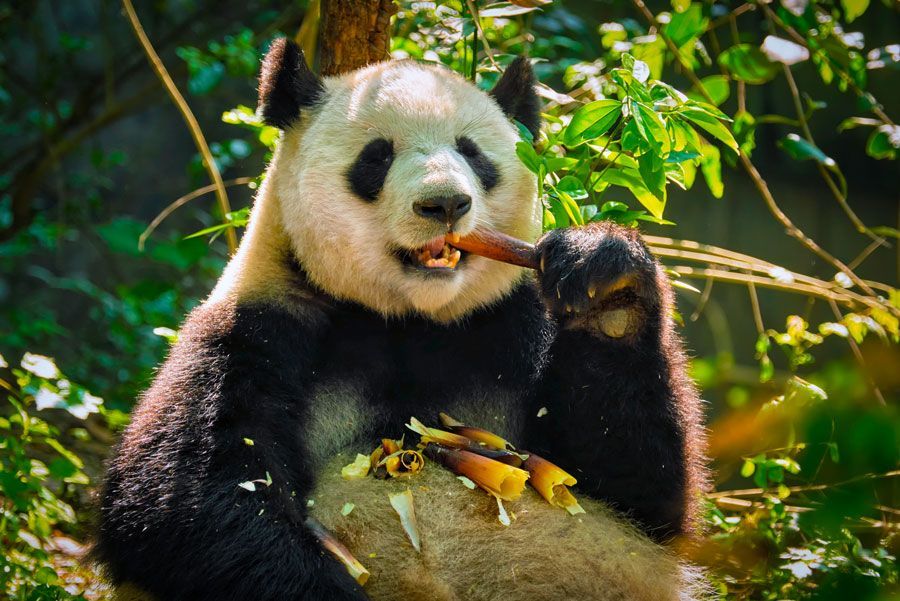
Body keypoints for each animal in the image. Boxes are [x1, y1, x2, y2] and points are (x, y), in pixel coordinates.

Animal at [93, 38, 708, 601]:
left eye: (474, 154)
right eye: (378, 156)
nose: (445, 205)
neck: (410, 318)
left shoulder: (513, 322)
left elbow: (633, 489)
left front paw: (606, 283)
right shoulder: (258, 328)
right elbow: (190, 499)